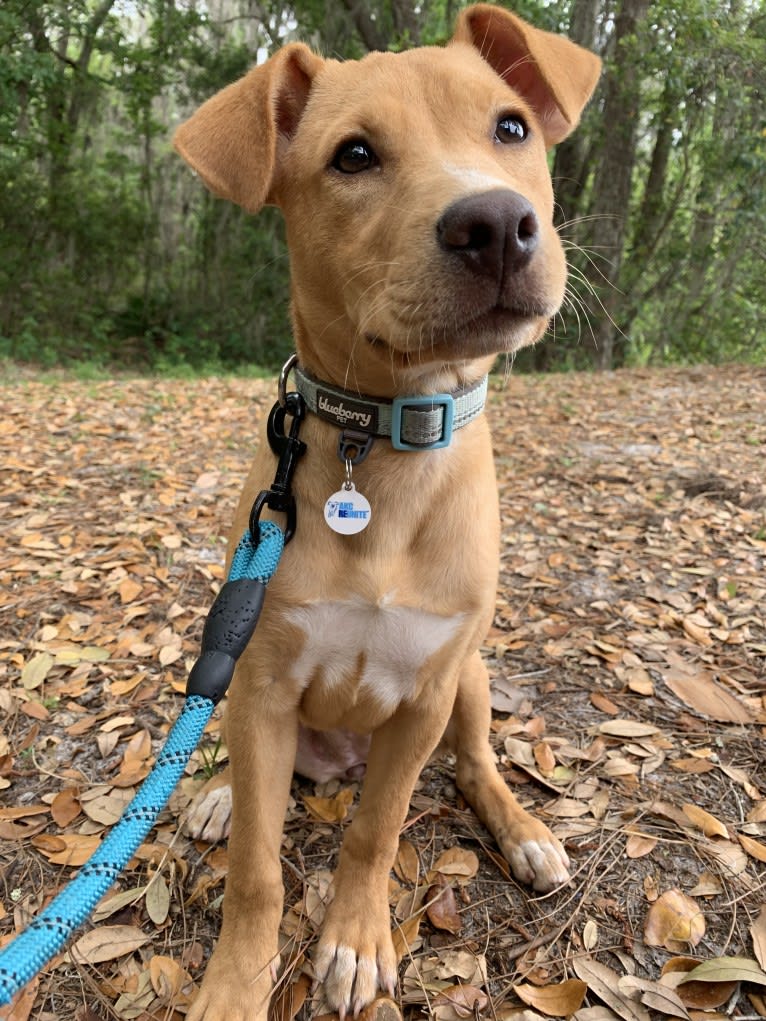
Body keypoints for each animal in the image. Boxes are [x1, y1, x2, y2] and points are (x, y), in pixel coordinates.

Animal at [176, 7, 604, 1021]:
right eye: (355, 156)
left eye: (511, 127)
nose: (496, 225)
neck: (388, 451)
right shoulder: (261, 683)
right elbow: (258, 870)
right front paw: (238, 979)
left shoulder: (426, 696)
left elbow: (377, 829)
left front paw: (356, 938)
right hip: (238, 672)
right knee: (239, 768)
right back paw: (213, 794)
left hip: (472, 676)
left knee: (477, 763)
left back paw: (525, 829)